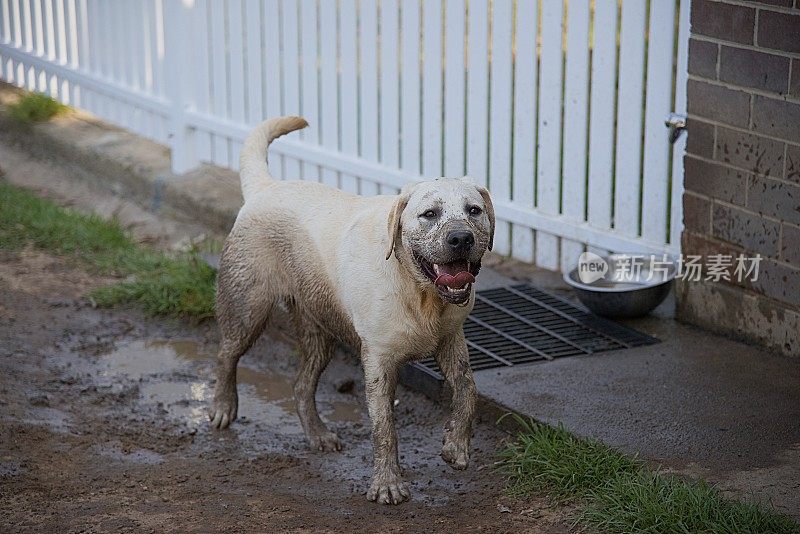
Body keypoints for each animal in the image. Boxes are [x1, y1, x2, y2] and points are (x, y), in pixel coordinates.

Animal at [206, 117, 494, 506]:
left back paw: (318, 434)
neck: (419, 292)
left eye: (473, 211)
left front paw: (456, 446)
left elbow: (467, 390)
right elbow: (385, 428)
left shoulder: (451, 339)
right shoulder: (379, 361)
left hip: (318, 330)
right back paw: (223, 406)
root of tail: (265, 186)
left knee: (301, 385)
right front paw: (387, 484)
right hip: (247, 307)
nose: (461, 238)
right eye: (429, 214)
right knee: (226, 354)